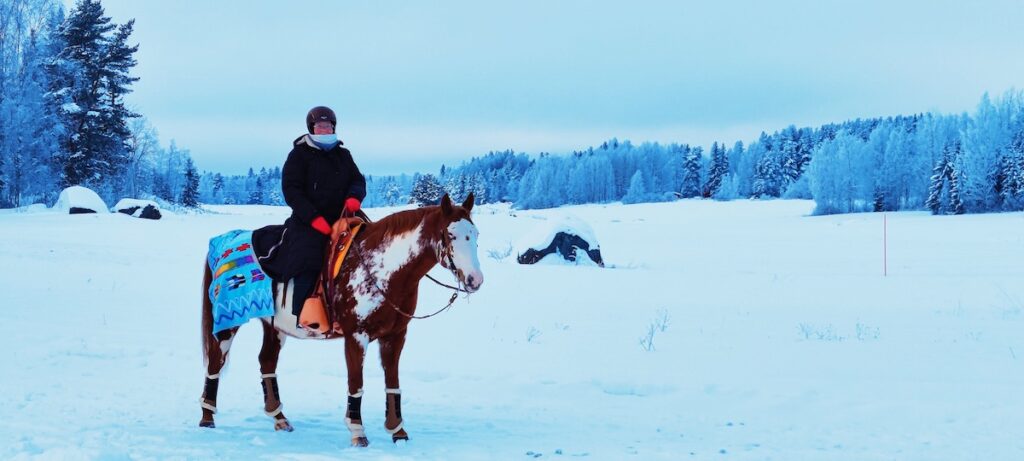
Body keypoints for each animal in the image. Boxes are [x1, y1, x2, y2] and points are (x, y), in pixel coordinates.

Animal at [201, 192, 485, 444]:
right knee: (215, 362)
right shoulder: (356, 336)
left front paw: (398, 432)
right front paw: (358, 432)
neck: (383, 269)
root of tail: (223, 240)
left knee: (267, 361)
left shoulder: (395, 335)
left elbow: (393, 382)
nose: (475, 280)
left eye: (475, 235)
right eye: (451, 235)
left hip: (274, 326)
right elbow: (356, 383)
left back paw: (279, 418)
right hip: (228, 324)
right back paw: (207, 418)